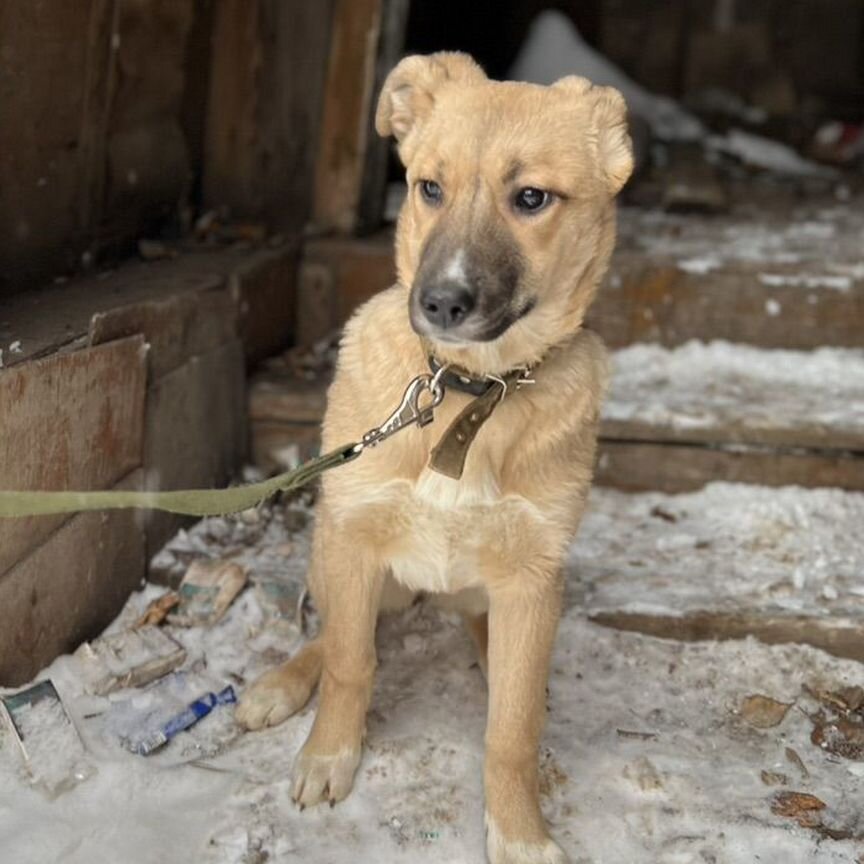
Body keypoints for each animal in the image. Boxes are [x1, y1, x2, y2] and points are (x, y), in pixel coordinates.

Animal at [240, 54, 632, 864]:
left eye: (531, 198)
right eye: (429, 187)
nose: (442, 303)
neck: (469, 392)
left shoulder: (533, 577)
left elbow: (513, 728)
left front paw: (517, 832)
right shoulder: (355, 538)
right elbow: (351, 663)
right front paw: (330, 756)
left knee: (497, 657)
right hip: (336, 555)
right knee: (331, 636)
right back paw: (281, 685)